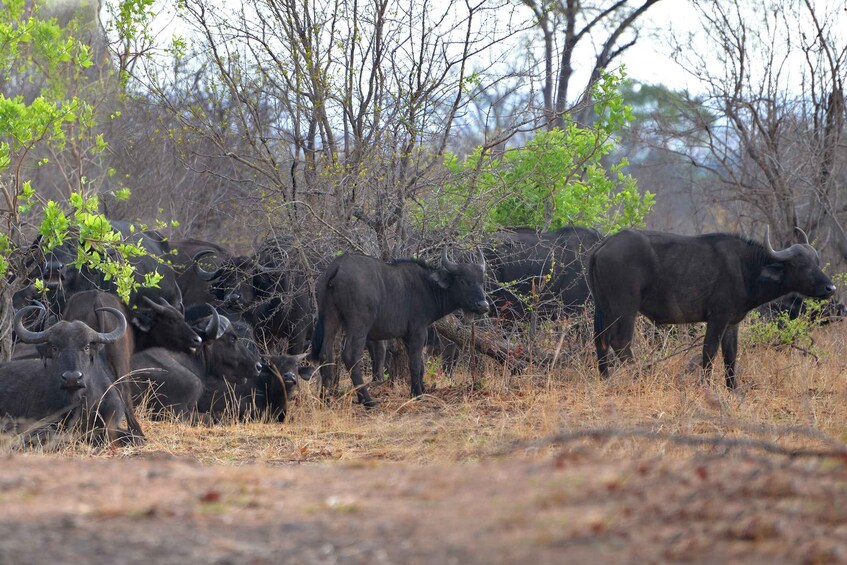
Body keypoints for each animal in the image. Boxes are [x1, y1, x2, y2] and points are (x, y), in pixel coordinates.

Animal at [310, 248, 490, 406]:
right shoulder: (418, 332)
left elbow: (420, 365)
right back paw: (367, 400)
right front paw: (418, 394)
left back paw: (325, 399)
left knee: (326, 354)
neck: (428, 287)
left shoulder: (406, 336)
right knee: (350, 356)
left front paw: (419, 389)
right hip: (358, 325)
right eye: (463, 280)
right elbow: (415, 364)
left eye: (481, 281)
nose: (483, 305)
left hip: (330, 318)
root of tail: (338, 266)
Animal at [592, 227, 840, 386]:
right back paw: (638, 377)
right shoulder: (718, 317)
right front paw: (707, 386)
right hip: (625, 309)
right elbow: (709, 352)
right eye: (802, 265)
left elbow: (730, 355)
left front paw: (733, 389)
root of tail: (604, 245)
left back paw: (605, 379)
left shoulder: (733, 322)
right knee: (620, 342)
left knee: (600, 340)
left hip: (602, 307)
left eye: (817, 262)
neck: (747, 268)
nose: (831, 288)